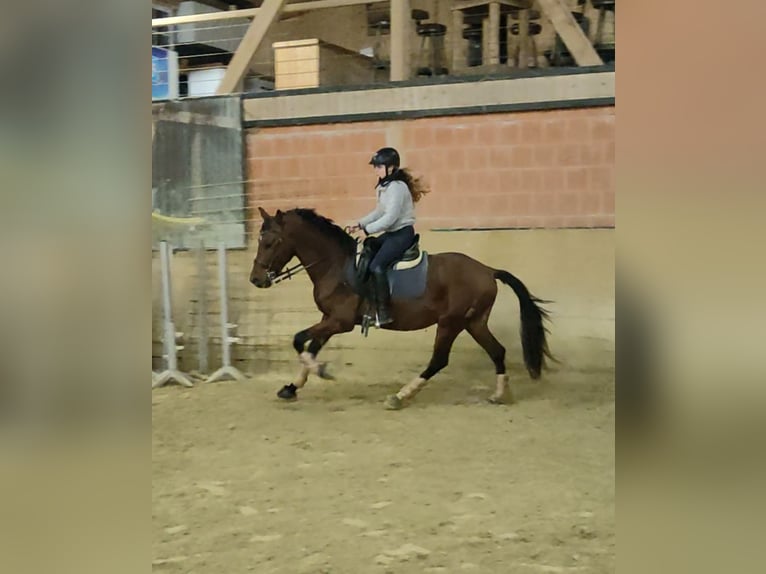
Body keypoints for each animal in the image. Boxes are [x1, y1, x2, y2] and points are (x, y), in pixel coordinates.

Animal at [250, 207, 552, 410]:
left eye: (270, 242)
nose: (256, 279)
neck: (336, 266)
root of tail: (488, 270)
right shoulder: (329, 319)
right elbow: (311, 347)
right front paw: (292, 387)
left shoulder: (339, 321)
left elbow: (299, 339)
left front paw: (321, 371)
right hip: (474, 322)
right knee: (496, 351)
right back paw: (500, 395)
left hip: (450, 323)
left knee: (438, 360)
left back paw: (400, 396)